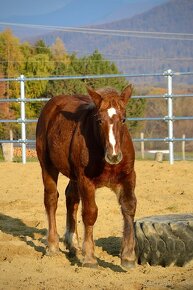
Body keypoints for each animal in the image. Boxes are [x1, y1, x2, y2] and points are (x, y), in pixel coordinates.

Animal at [35, 85, 136, 270]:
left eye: (124, 119)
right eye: (99, 121)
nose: (114, 156)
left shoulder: (128, 176)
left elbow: (129, 207)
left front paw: (128, 257)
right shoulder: (86, 181)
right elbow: (90, 213)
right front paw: (89, 257)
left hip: (74, 175)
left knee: (71, 198)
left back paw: (72, 243)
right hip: (48, 166)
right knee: (51, 199)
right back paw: (53, 245)